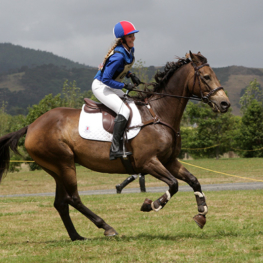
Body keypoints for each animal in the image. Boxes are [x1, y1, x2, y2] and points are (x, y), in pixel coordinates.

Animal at [0, 51, 231, 241]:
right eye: (206, 77)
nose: (225, 104)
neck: (159, 114)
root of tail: (32, 125)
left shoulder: (169, 161)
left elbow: (194, 180)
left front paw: (201, 213)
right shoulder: (148, 162)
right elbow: (173, 185)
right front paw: (152, 204)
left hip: (56, 169)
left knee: (61, 203)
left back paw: (76, 236)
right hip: (64, 164)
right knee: (73, 198)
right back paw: (106, 227)